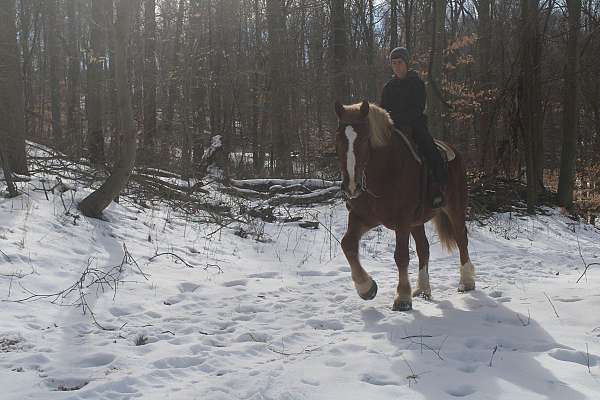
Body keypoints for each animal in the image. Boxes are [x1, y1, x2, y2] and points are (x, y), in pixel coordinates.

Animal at [332, 101, 474, 312]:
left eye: (365, 139)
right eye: (339, 138)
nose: (351, 186)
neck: (384, 172)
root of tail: (452, 150)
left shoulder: (402, 221)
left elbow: (401, 256)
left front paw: (402, 298)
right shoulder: (363, 217)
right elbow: (347, 244)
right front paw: (366, 288)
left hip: (454, 208)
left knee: (461, 239)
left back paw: (466, 282)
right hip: (417, 221)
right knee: (424, 248)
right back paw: (423, 289)